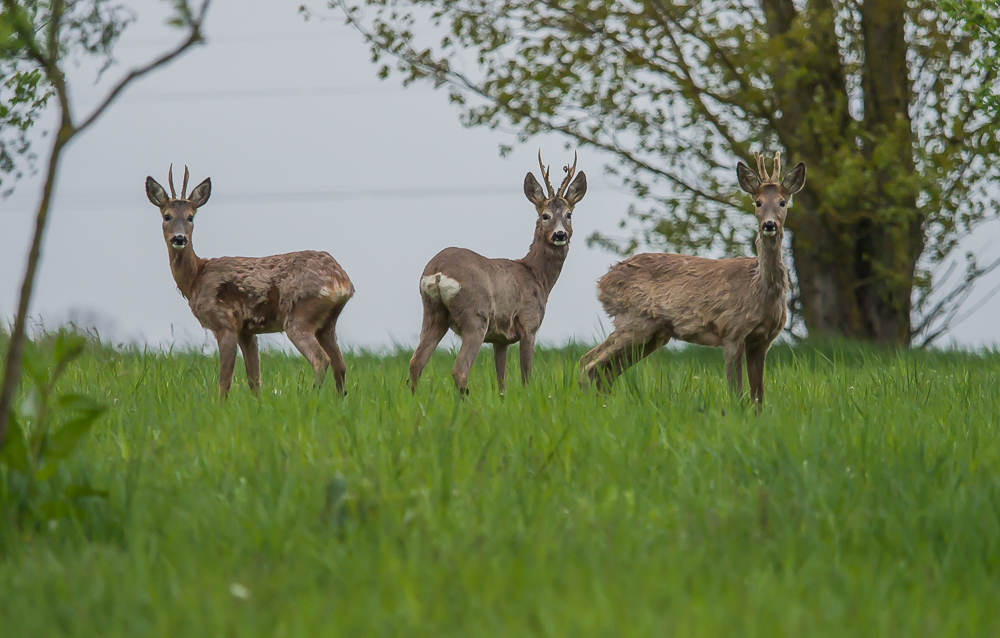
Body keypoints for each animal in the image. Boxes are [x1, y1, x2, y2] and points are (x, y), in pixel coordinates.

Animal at [145, 165, 354, 398]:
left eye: (191, 217)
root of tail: (342, 282)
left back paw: (311, 397)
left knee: (321, 360)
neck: (196, 278)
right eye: (167, 216)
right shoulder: (247, 330)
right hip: (327, 324)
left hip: (299, 315)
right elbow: (255, 380)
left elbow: (225, 381)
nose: (179, 238)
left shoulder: (225, 322)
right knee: (340, 364)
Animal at [410, 153, 584, 398]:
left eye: (569, 214)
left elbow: (502, 382)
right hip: (475, 315)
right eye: (545, 215)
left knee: (416, 362)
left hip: (433, 313)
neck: (536, 275)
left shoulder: (500, 339)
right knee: (459, 369)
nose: (560, 235)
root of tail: (438, 271)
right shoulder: (529, 324)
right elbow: (525, 376)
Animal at [580, 152, 804, 408]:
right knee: (588, 362)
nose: (769, 224)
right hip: (633, 320)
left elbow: (758, 397)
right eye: (757, 202)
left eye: (782, 202)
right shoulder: (732, 330)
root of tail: (603, 282)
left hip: (654, 334)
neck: (757, 288)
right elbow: (736, 391)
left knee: (606, 371)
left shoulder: (762, 340)